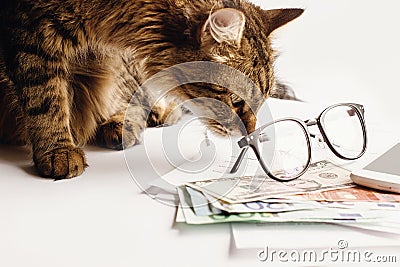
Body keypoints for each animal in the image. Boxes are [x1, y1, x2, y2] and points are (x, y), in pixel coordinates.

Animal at [0, 1, 302, 180]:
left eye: (261, 100)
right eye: (236, 102)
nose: (251, 134)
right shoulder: (31, 32)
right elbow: (45, 99)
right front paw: (57, 149)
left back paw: (125, 123)